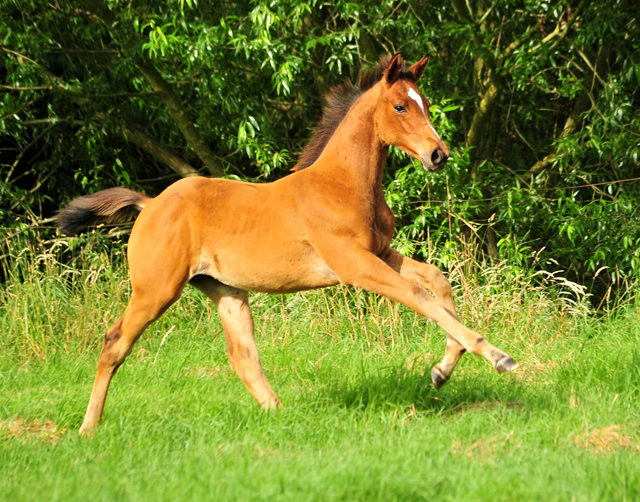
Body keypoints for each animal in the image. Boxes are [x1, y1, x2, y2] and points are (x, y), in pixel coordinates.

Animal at [60, 53, 516, 434]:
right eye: (400, 106)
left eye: (426, 103)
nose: (439, 155)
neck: (344, 184)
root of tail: (151, 204)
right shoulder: (353, 265)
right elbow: (420, 296)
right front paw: (496, 356)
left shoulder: (380, 253)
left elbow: (436, 280)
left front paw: (442, 371)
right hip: (156, 289)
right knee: (114, 342)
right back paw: (87, 428)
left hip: (225, 290)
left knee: (242, 355)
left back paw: (280, 415)